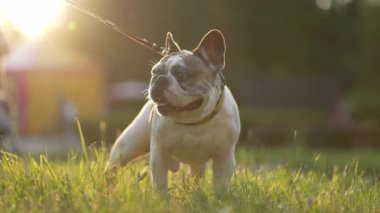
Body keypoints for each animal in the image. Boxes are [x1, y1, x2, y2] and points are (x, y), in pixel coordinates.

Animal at [104, 30, 240, 195]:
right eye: (153, 73)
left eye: (181, 75)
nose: (159, 80)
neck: (193, 121)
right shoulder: (159, 154)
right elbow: (160, 183)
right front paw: (162, 199)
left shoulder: (224, 157)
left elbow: (221, 183)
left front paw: (220, 198)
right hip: (127, 147)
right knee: (113, 167)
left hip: (198, 163)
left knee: (195, 175)